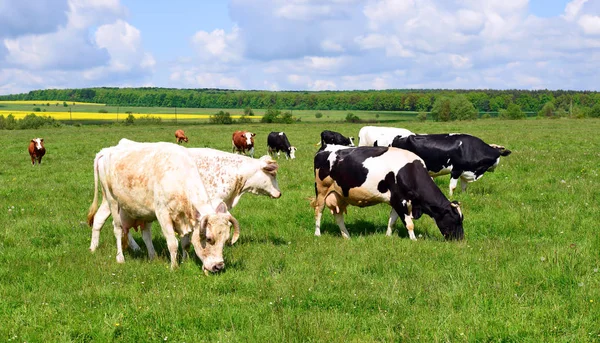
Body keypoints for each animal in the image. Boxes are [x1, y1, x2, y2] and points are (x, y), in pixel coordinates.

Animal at [88, 140, 238, 274]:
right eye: (208, 239)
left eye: (225, 240)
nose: (218, 266)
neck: (178, 176)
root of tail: (106, 150)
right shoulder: (163, 214)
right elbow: (172, 243)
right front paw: (174, 267)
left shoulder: (185, 217)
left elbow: (185, 243)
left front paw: (185, 261)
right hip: (112, 201)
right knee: (118, 229)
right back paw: (119, 257)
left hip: (140, 211)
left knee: (144, 233)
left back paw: (151, 256)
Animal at [314, 146, 464, 241]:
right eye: (455, 219)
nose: (461, 239)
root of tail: (324, 150)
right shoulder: (400, 201)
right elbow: (409, 223)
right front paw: (414, 240)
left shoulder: (396, 200)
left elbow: (392, 220)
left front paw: (388, 236)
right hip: (322, 191)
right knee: (318, 211)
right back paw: (317, 234)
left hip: (339, 195)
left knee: (338, 217)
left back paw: (347, 236)